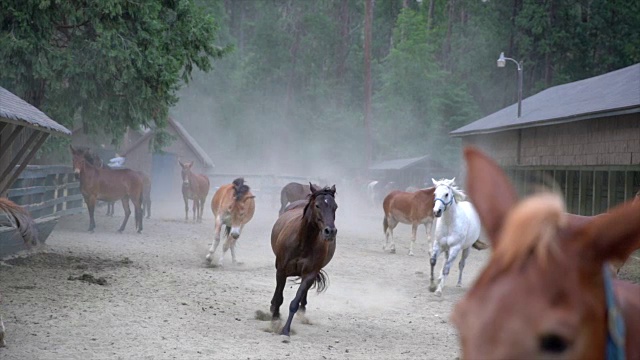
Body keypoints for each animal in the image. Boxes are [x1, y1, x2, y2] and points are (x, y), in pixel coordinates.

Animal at [268, 184, 338, 336]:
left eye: (335, 206)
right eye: (317, 205)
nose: (330, 231)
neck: (303, 242)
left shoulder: (309, 274)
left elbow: (294, 302)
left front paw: (285, 330)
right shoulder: (281, 270)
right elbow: (279, 297)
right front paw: (275, 319)